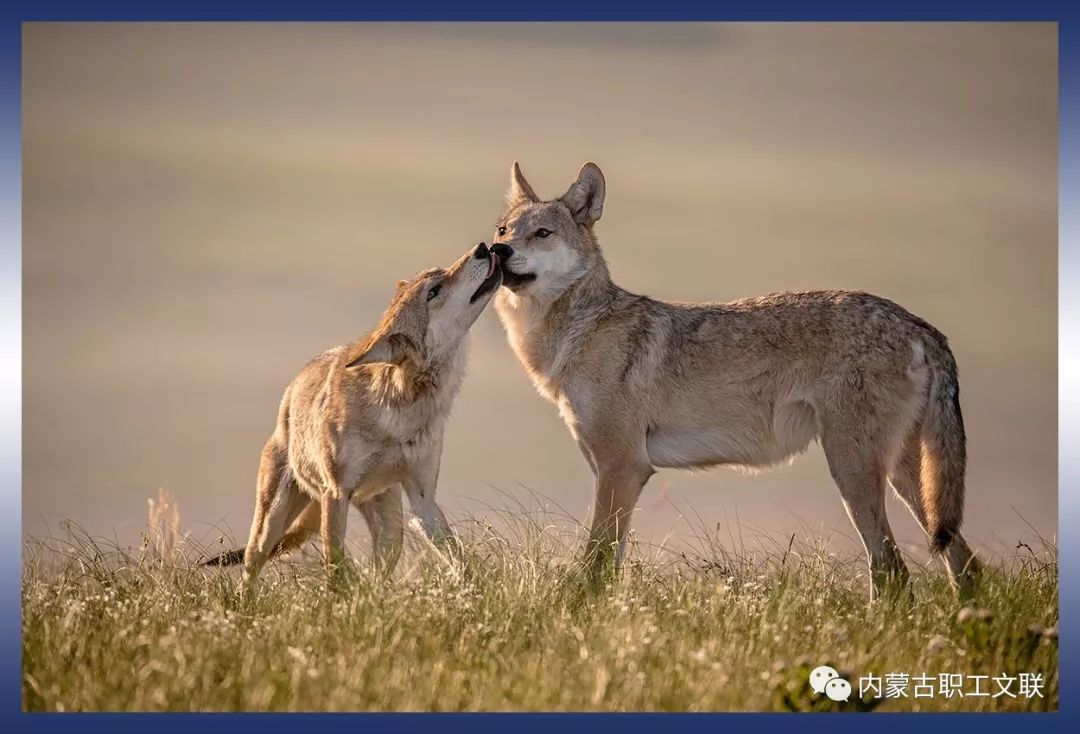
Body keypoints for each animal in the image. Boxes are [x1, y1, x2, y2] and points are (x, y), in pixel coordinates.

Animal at [201, 243, 501, 587]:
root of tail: (289, 394)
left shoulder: (423, 497)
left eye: (440, 274)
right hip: (272, 524)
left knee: (379, 570)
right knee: (250, 570)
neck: (399, 412)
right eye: (434, 291)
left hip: (390, 525)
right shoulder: (335, 493)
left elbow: (458, 557)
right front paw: (338, 597)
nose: (484, 247)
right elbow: (334, 564)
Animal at [494, 162, 984, 600]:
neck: (579, 331)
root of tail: (919, 325)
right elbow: (610, 562)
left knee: (893, 570)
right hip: (907, 480)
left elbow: (595, 564)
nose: (496, 252)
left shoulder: (623, 467)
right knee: (964, 563)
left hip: (853, 470)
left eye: (542, 234)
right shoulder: (611, 469)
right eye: (503, 230)